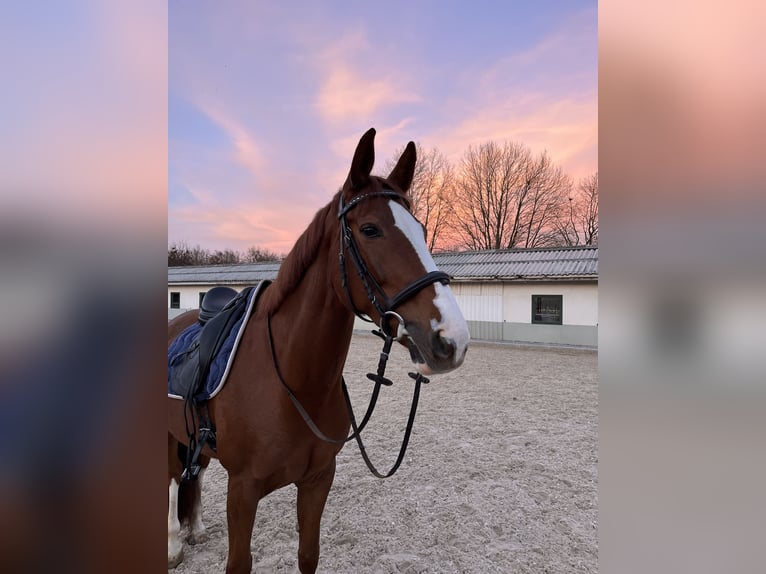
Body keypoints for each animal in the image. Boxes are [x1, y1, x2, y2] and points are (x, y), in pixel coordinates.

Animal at [168, 128, 472, 572]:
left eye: (420, 229)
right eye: (370, 229)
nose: (452, 339)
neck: (294, 382)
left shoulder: (317, 481)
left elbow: (308, 555)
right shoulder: (242, 490)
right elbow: (239, 562)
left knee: (194, 473)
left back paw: (195, 529)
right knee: (172, 478)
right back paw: (174, 544)